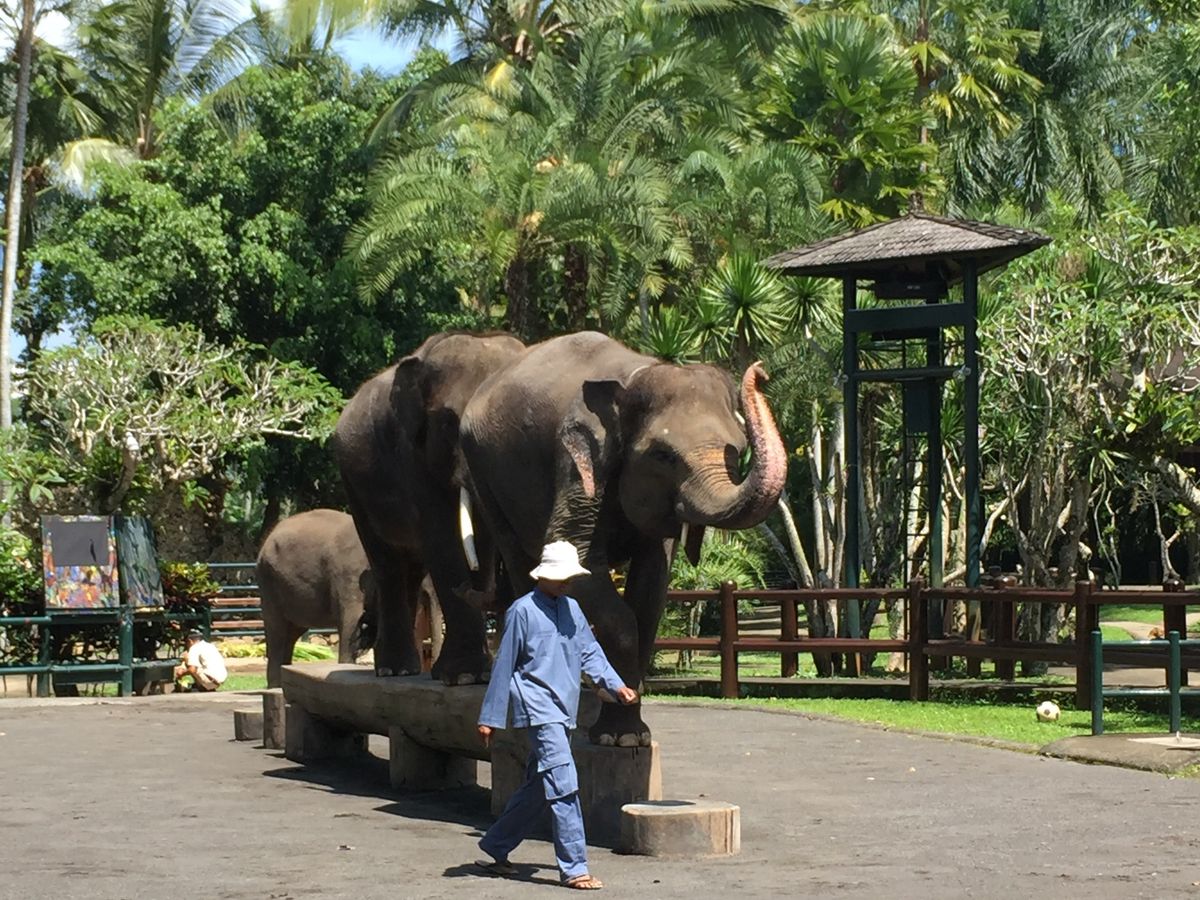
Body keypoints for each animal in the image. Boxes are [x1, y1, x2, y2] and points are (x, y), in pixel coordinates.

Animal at [256, 508, 378, 688]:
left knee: (291, 634)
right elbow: (350, 621)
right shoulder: (348, 574)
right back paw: (276, 688)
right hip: (268, 581)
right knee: (277, 631)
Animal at [333, 332, 526, 683]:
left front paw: (474, 676)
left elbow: (479, 543)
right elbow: (444, 537)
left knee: (410, 568)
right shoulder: (411, 453)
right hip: (354, 486)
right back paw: (393, 670)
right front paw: (465, 677)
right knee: (388, 565)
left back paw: (403, 669)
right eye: (448, 423)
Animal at [460, 331, 787, 746]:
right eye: (663, 455)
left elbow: (651, 588)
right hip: (483, 473)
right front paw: (615, 733)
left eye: (739, 450)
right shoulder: (579, 463)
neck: (633, 376)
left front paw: (629, 737)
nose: (761, 371)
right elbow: (587, 569)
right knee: (519, 562)